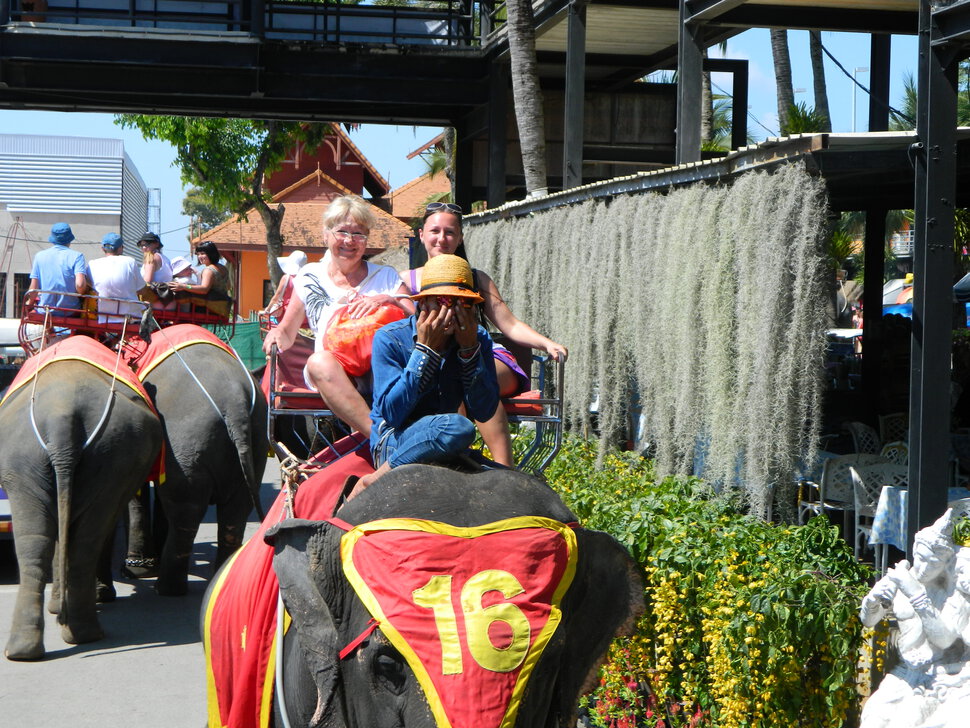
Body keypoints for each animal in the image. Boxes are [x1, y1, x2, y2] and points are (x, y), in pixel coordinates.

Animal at [0, 338, 163, 664]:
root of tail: (62, 416)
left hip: (93, 456)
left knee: (56, 540)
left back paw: (64, 636)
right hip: (82, 455)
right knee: (64, 540)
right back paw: (50, 641)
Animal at [134, 326, 266, 596]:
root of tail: (235, 402)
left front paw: (138, 570)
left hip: (187, 441)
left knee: (186, 514)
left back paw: (166, 589)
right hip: (253, 444)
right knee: (236, 513)